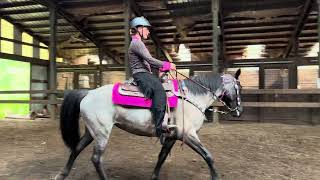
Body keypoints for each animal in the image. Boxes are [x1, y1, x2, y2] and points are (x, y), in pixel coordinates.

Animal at [55, 69, 242, 180]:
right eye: (238, 87)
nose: (239, 111)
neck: (190, 98)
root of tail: (88, 93)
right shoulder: (187, 134)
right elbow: (208, 156)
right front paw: (216, 177)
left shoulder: (172, 136)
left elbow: (161, 157)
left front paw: (154, 177)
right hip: (102, 133)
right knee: (96, 158)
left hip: (91, 131)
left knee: (76, 149)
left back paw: (62, 175)